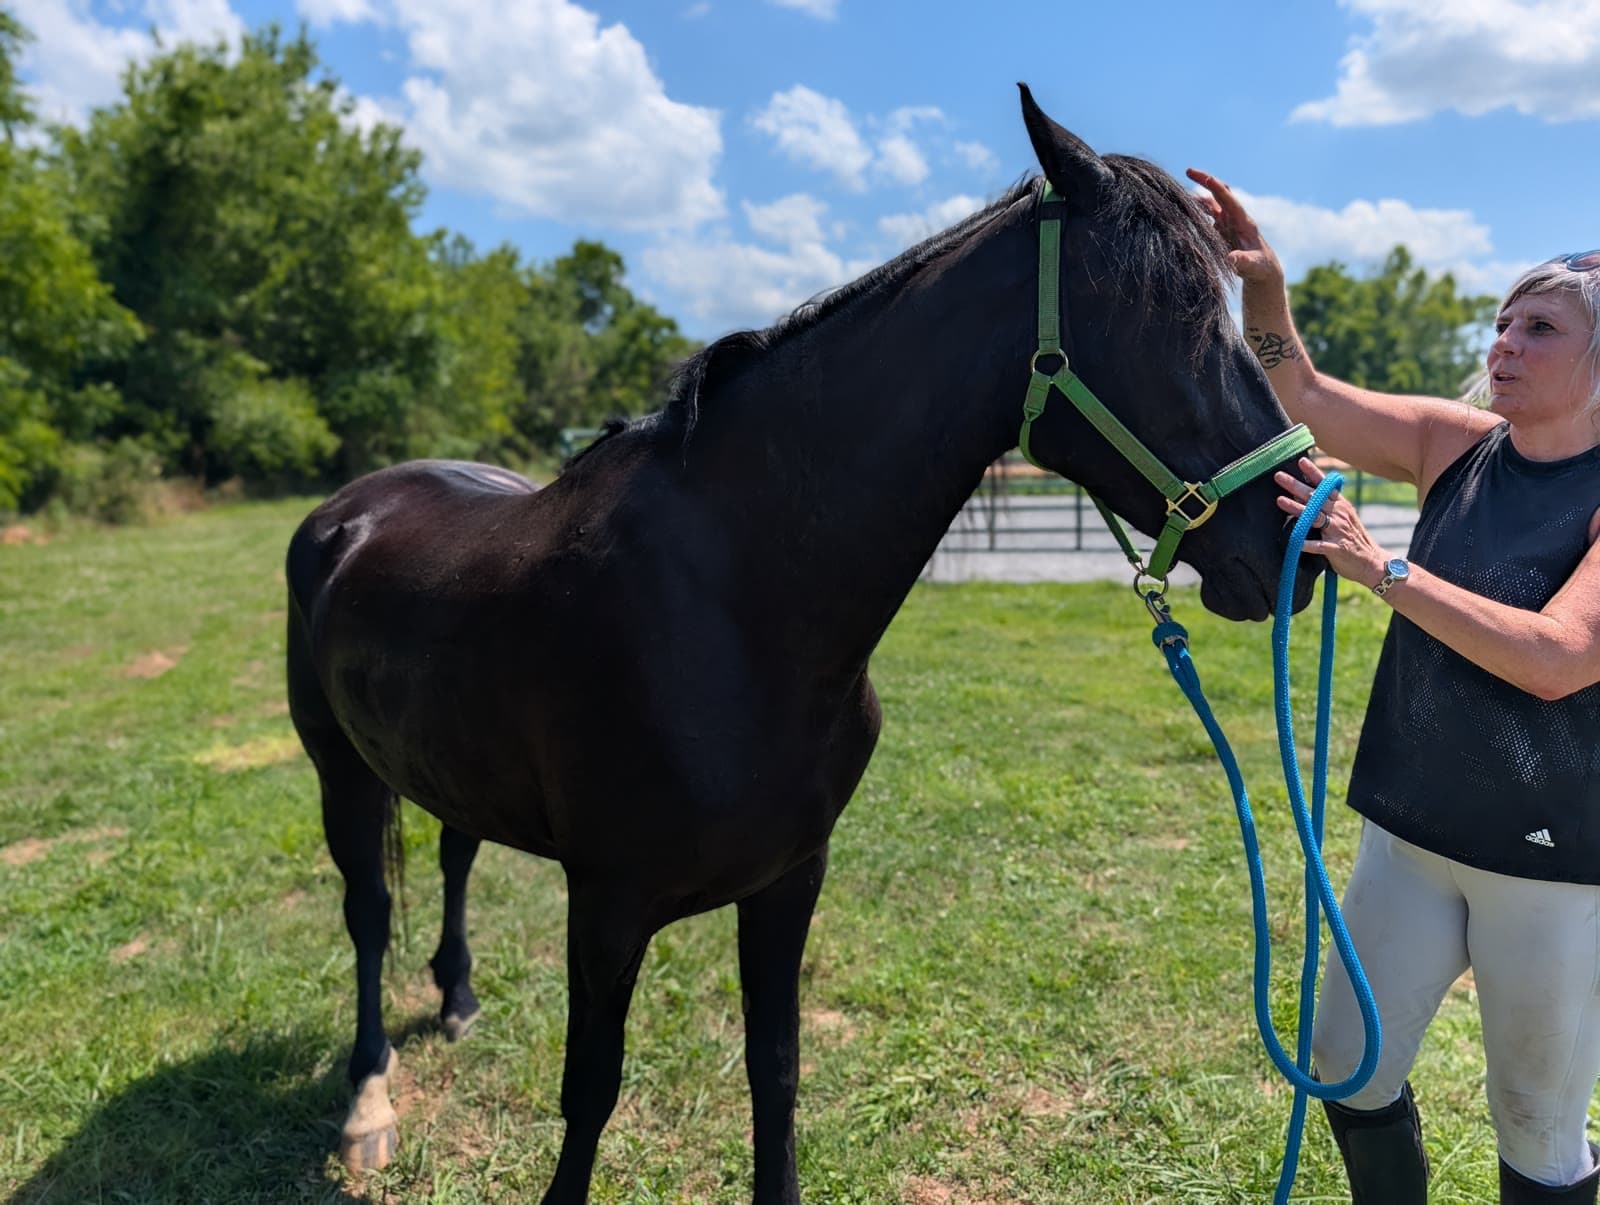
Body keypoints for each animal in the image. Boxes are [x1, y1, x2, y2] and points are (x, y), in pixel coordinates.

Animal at [285, 85, 1322, 1203]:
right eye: (1172, 311)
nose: (1298, 540)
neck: (734, 607)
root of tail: (351, 509)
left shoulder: (789, 879)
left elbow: (773, 1069)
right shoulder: (604, 902)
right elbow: (590, 1090)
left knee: (455, 849)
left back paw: (460, 998)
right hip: (339, 769)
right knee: (366, 912)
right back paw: (369, 1099)